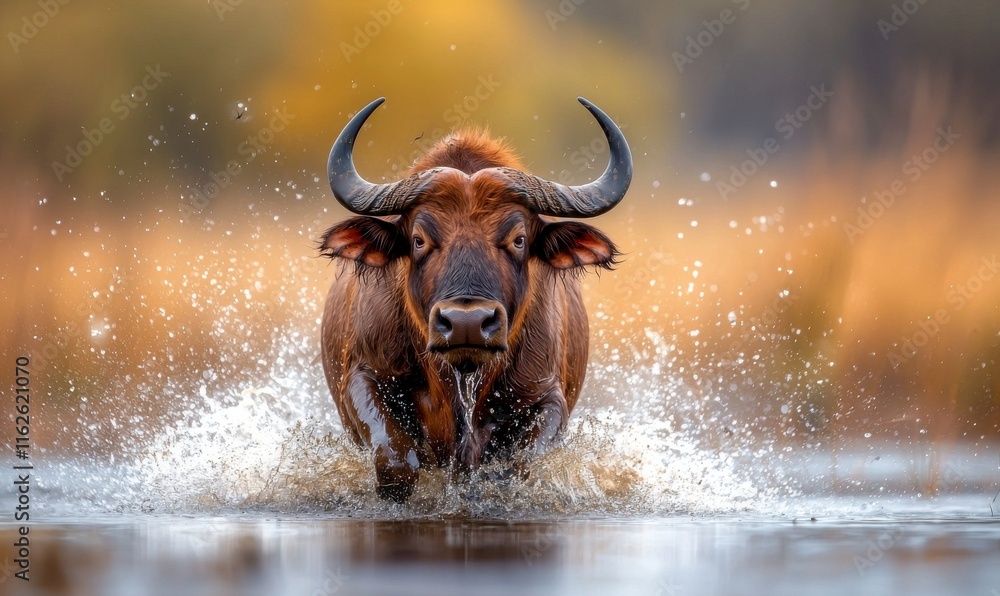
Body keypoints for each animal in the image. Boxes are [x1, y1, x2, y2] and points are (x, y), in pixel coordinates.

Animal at [319, 97, 632, 501]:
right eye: (419, 239)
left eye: (518, 239)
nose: (466, 323)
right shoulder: (364, 377)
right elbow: (395, 463)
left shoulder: (545, 397)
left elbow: (516, 467)